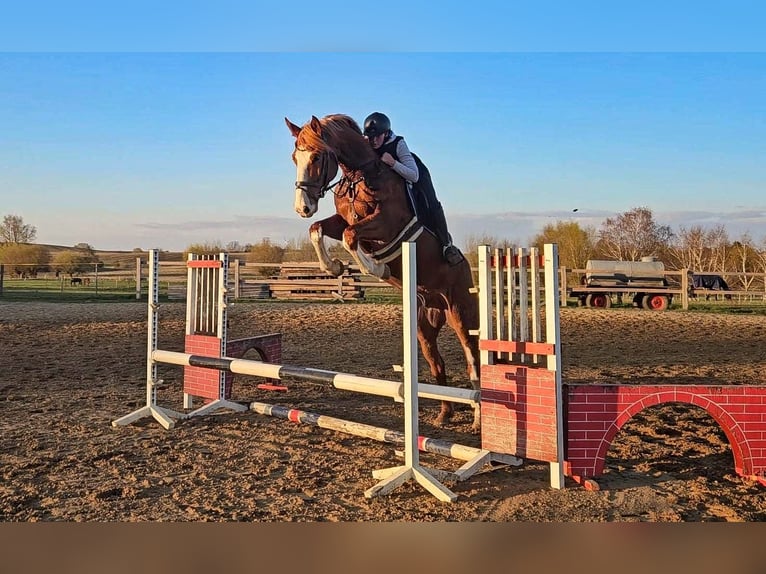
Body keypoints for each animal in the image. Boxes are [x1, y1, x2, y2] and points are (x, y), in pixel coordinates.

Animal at [285, 114, 481, 430]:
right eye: (294, 158)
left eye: (316, 156)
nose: (303, 207)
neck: (361, 174)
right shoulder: (342, 219)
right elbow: (318, 229)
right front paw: (334, 266)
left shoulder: (387, 221)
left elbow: (352, 236)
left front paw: (377, 267)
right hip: (424, 326)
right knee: (437, 363)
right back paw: (444, 413)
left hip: (461, 315)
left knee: (472, 359)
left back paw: (477, 419)